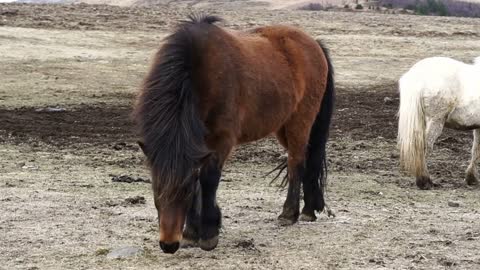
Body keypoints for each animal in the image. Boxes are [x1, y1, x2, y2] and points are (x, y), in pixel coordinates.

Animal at [135, 14, 334, 254]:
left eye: (186, 191)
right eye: (156, 189)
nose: (169, 244)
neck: (199, 74)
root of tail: (314, 43)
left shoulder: (221, 140)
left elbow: (208, 180)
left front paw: (209, 233)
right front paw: (191, 233)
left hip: (300, 122)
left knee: (296, 162)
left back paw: (290, 214)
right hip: (283, 127)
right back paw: (309, 210)